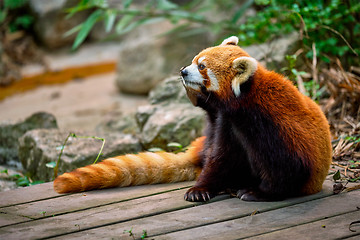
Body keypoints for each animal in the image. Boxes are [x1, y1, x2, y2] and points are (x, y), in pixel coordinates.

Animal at [53, 36, 332, 202]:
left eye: (202, 67)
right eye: (194, 60)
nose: (182, 71)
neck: (244, 103)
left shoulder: (271, 125)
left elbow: (287, 167)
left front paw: (259, 192)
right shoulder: (228, 124)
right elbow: (221, 158)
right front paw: (201, 189)